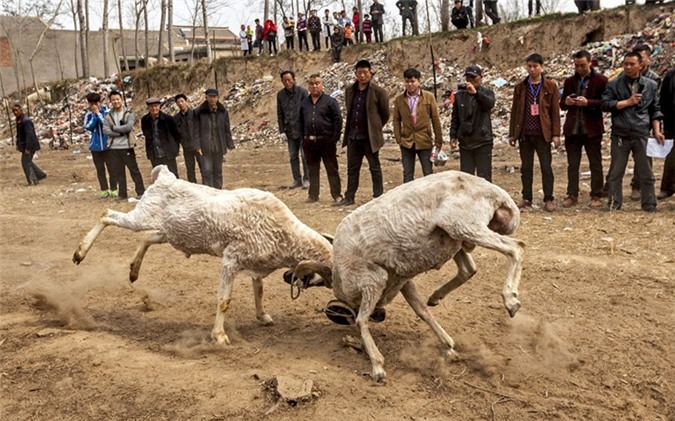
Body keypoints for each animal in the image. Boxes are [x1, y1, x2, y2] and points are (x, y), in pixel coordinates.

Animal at [73, 165, 332, 344]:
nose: (288, 278)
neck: (284, 233)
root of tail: (164, 175)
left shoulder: (255, 265)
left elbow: (259, 291)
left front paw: (263, 317)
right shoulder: (231, 260)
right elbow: (224, 300)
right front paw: (219, 336)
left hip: (170, 232)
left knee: (146, 237)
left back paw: (134, 271)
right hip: (142, 215)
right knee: (108, 215)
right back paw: (79, 253)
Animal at [294, 171, 524, 380]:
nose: (380, 314)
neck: (341, 273)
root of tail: (497, 194)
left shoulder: (373, 280)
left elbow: (361, 320)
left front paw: (377, 366)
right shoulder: (401, 279)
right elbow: (421, 310)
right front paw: (448, 345)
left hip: (462, 225)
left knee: (516, 248)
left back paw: (511, 300)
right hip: (454, 238)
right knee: (469, 269)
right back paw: (436, 297)